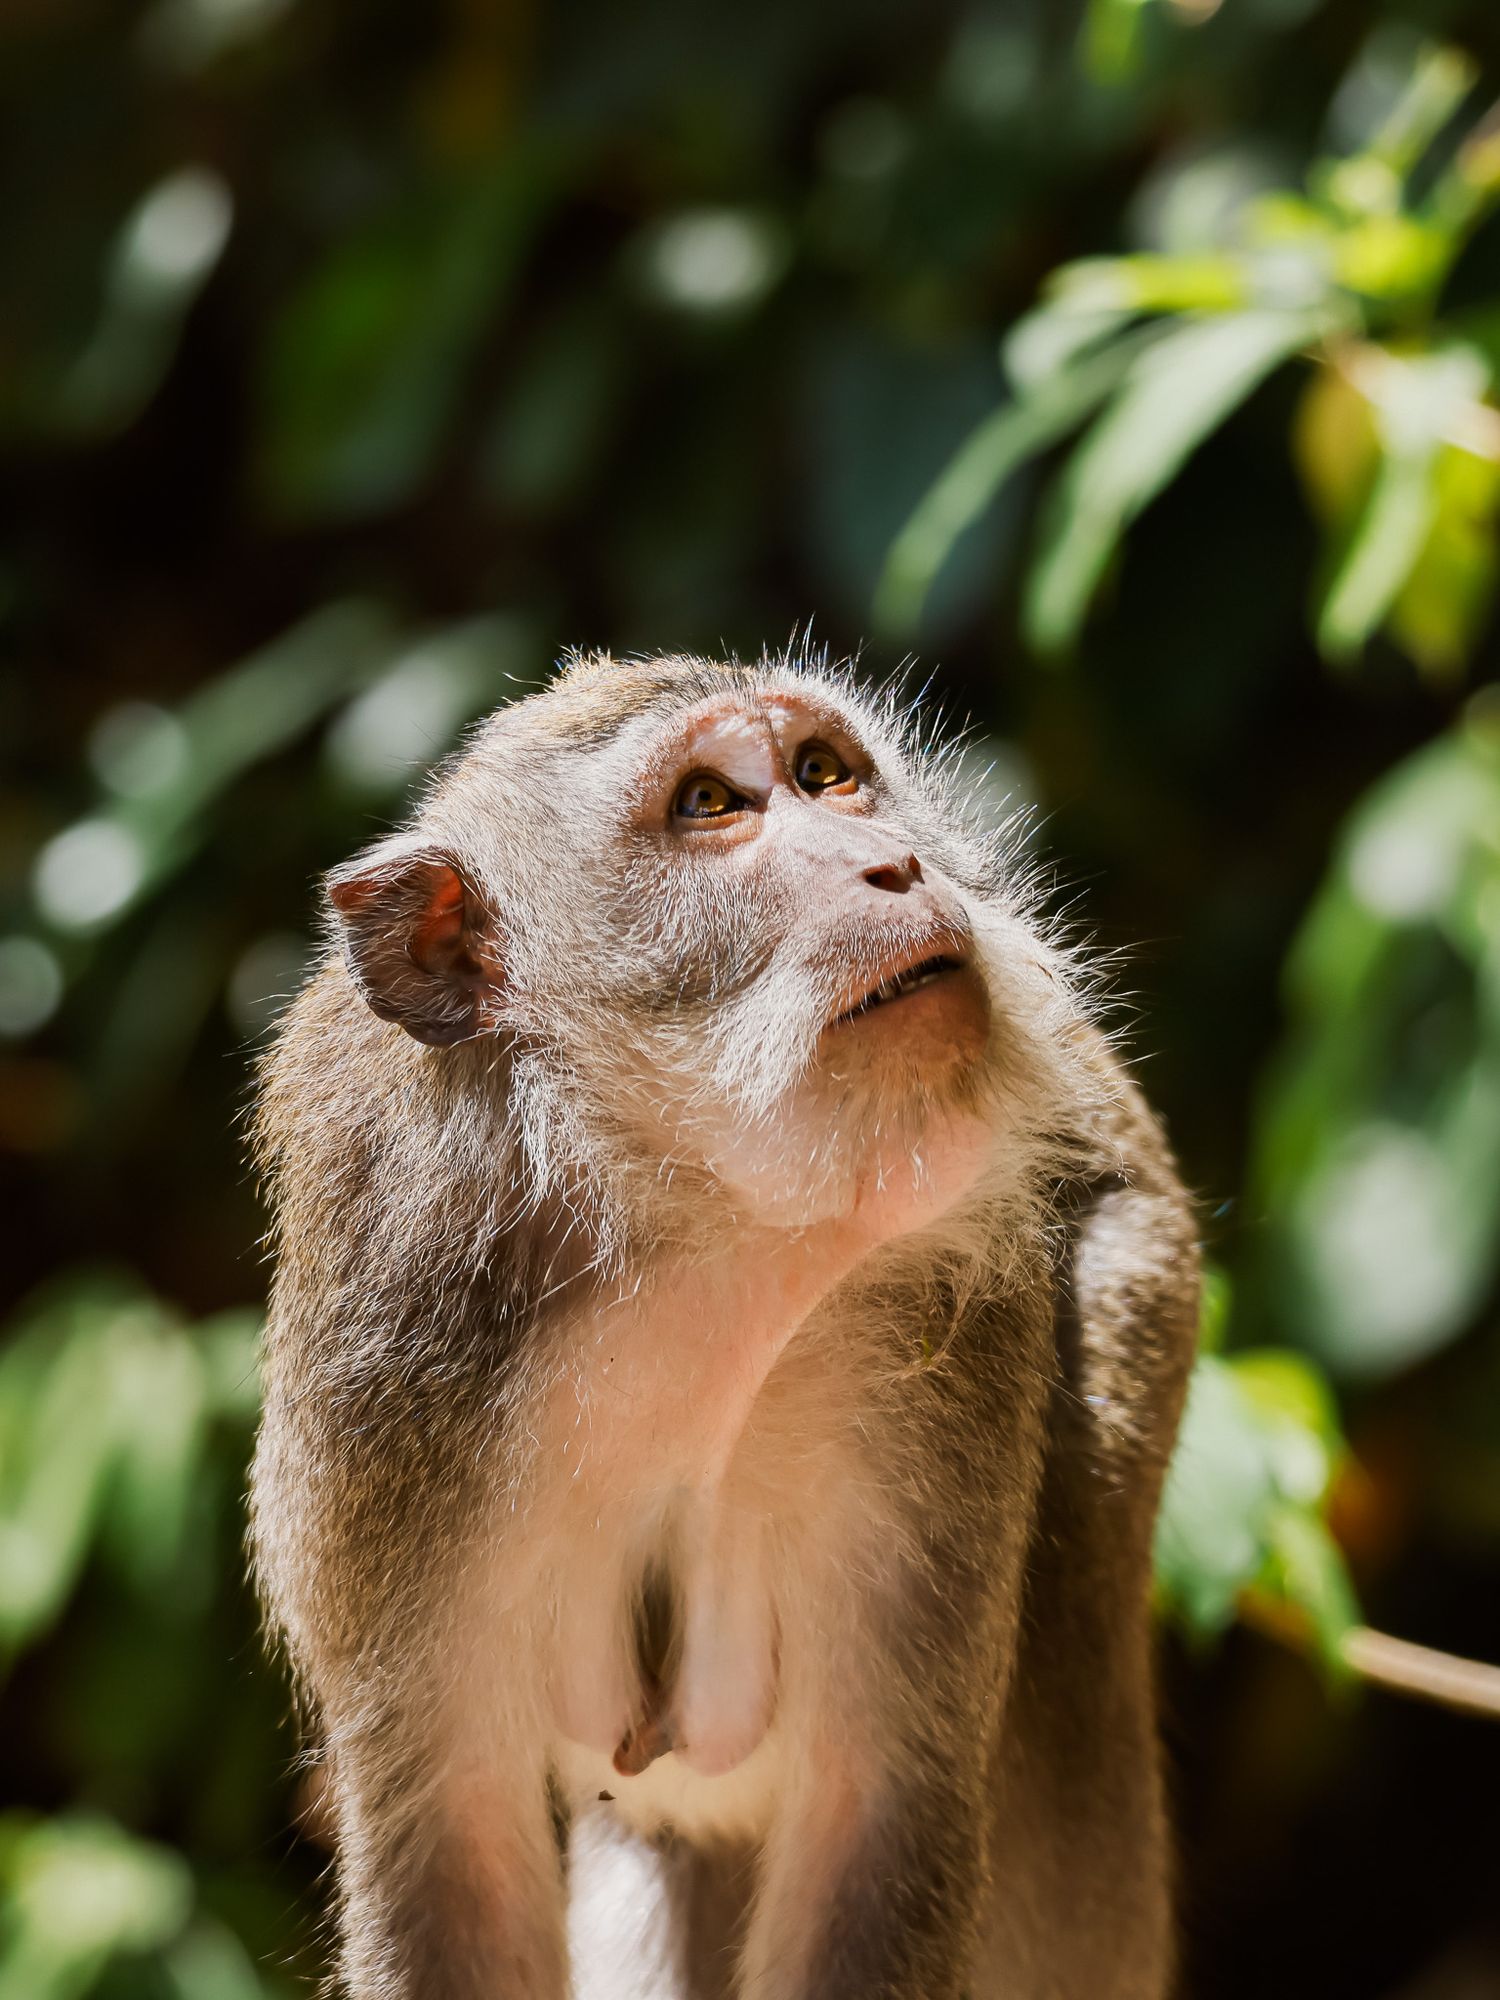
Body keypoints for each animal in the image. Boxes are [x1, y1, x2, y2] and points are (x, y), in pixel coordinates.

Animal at [250, 646, 1199, 2000]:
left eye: (825, 772)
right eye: (710, 804)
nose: (895, 865)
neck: (688, 1228)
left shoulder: (941, 1367)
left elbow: (876, 1824)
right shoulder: (383, 1394)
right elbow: (453, 1861)